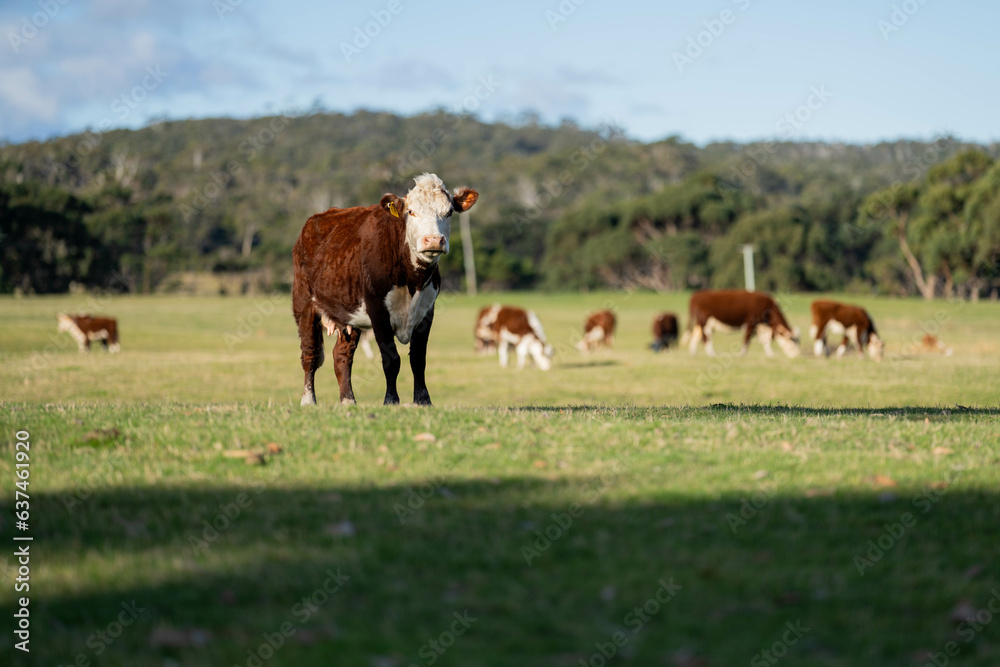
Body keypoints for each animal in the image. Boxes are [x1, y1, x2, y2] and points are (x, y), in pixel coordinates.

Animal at [292, 172, 478, 408]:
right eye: (411, 211)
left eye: (449, 212)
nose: (434, 240)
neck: (413, 281)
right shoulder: (378, 310)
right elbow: (392, 360)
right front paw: (391, 400)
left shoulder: (427, 311)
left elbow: (418, 359)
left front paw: (423, 400)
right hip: (304, 303)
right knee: (310, 354)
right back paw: (308, 400)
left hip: (348, 314)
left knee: (341, 356)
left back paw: (348, 400)